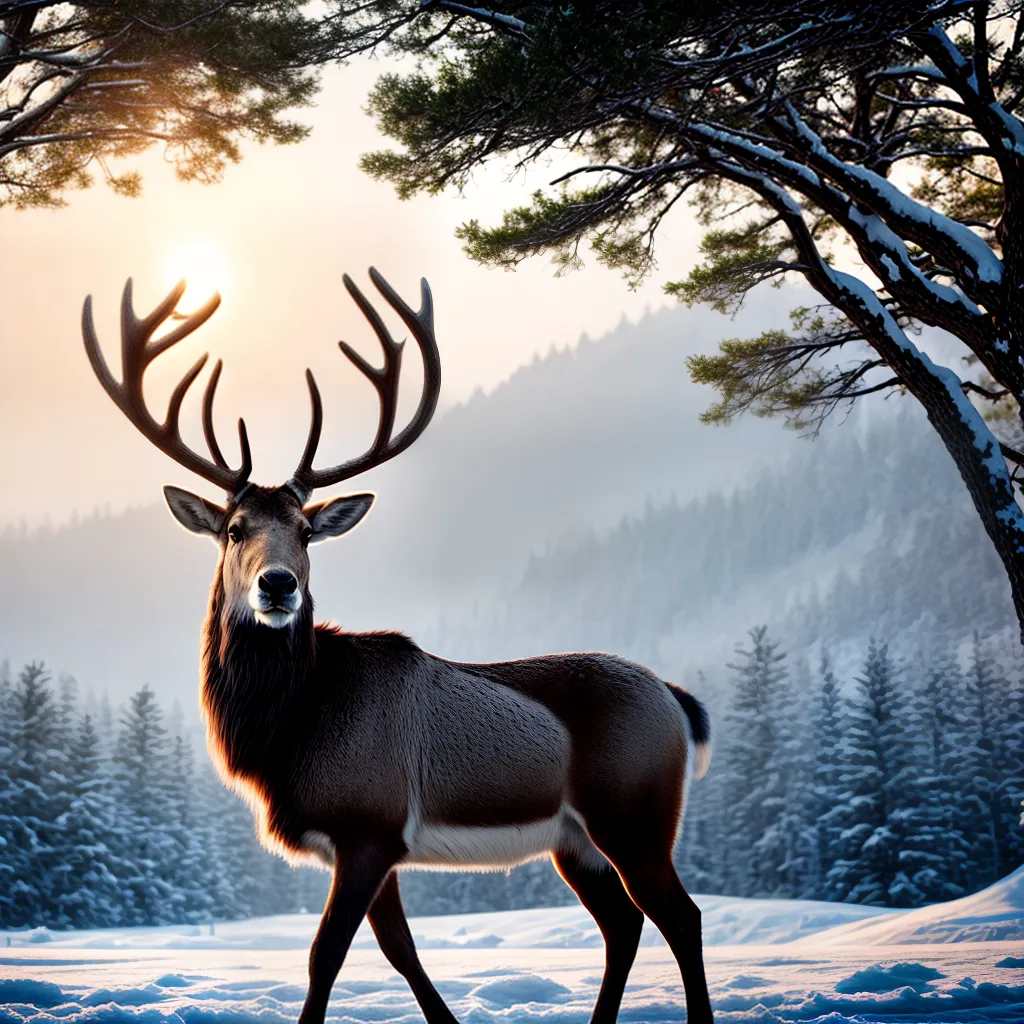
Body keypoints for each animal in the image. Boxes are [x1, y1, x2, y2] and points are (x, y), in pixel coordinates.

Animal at [81, 269, 714, 1024]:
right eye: (235, 528)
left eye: (306, 530)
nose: (277, 583)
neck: (286, 733)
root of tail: (677, 701)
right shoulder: (370, 843)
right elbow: (400, 950)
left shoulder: (368, 823)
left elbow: (326, 954)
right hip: (576, 841)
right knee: (623, 922)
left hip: (636, 814)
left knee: (681, 916)